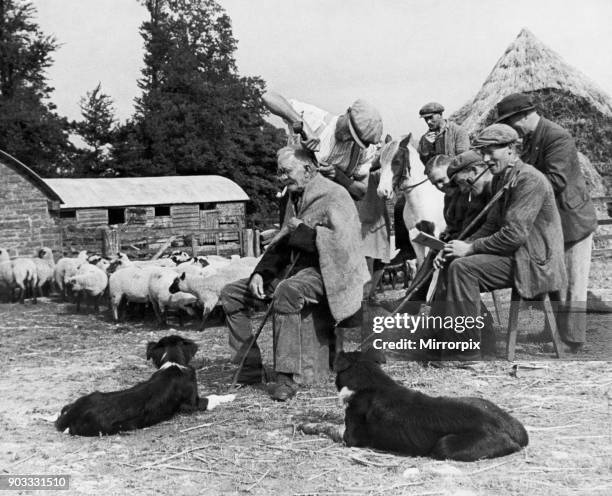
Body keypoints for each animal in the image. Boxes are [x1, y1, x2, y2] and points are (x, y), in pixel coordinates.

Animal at [376, 135, 442, 268]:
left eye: (396, 161)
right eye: (380, 163)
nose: (382, 191)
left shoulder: (436, 234)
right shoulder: (415, 237)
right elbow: (421, 264)